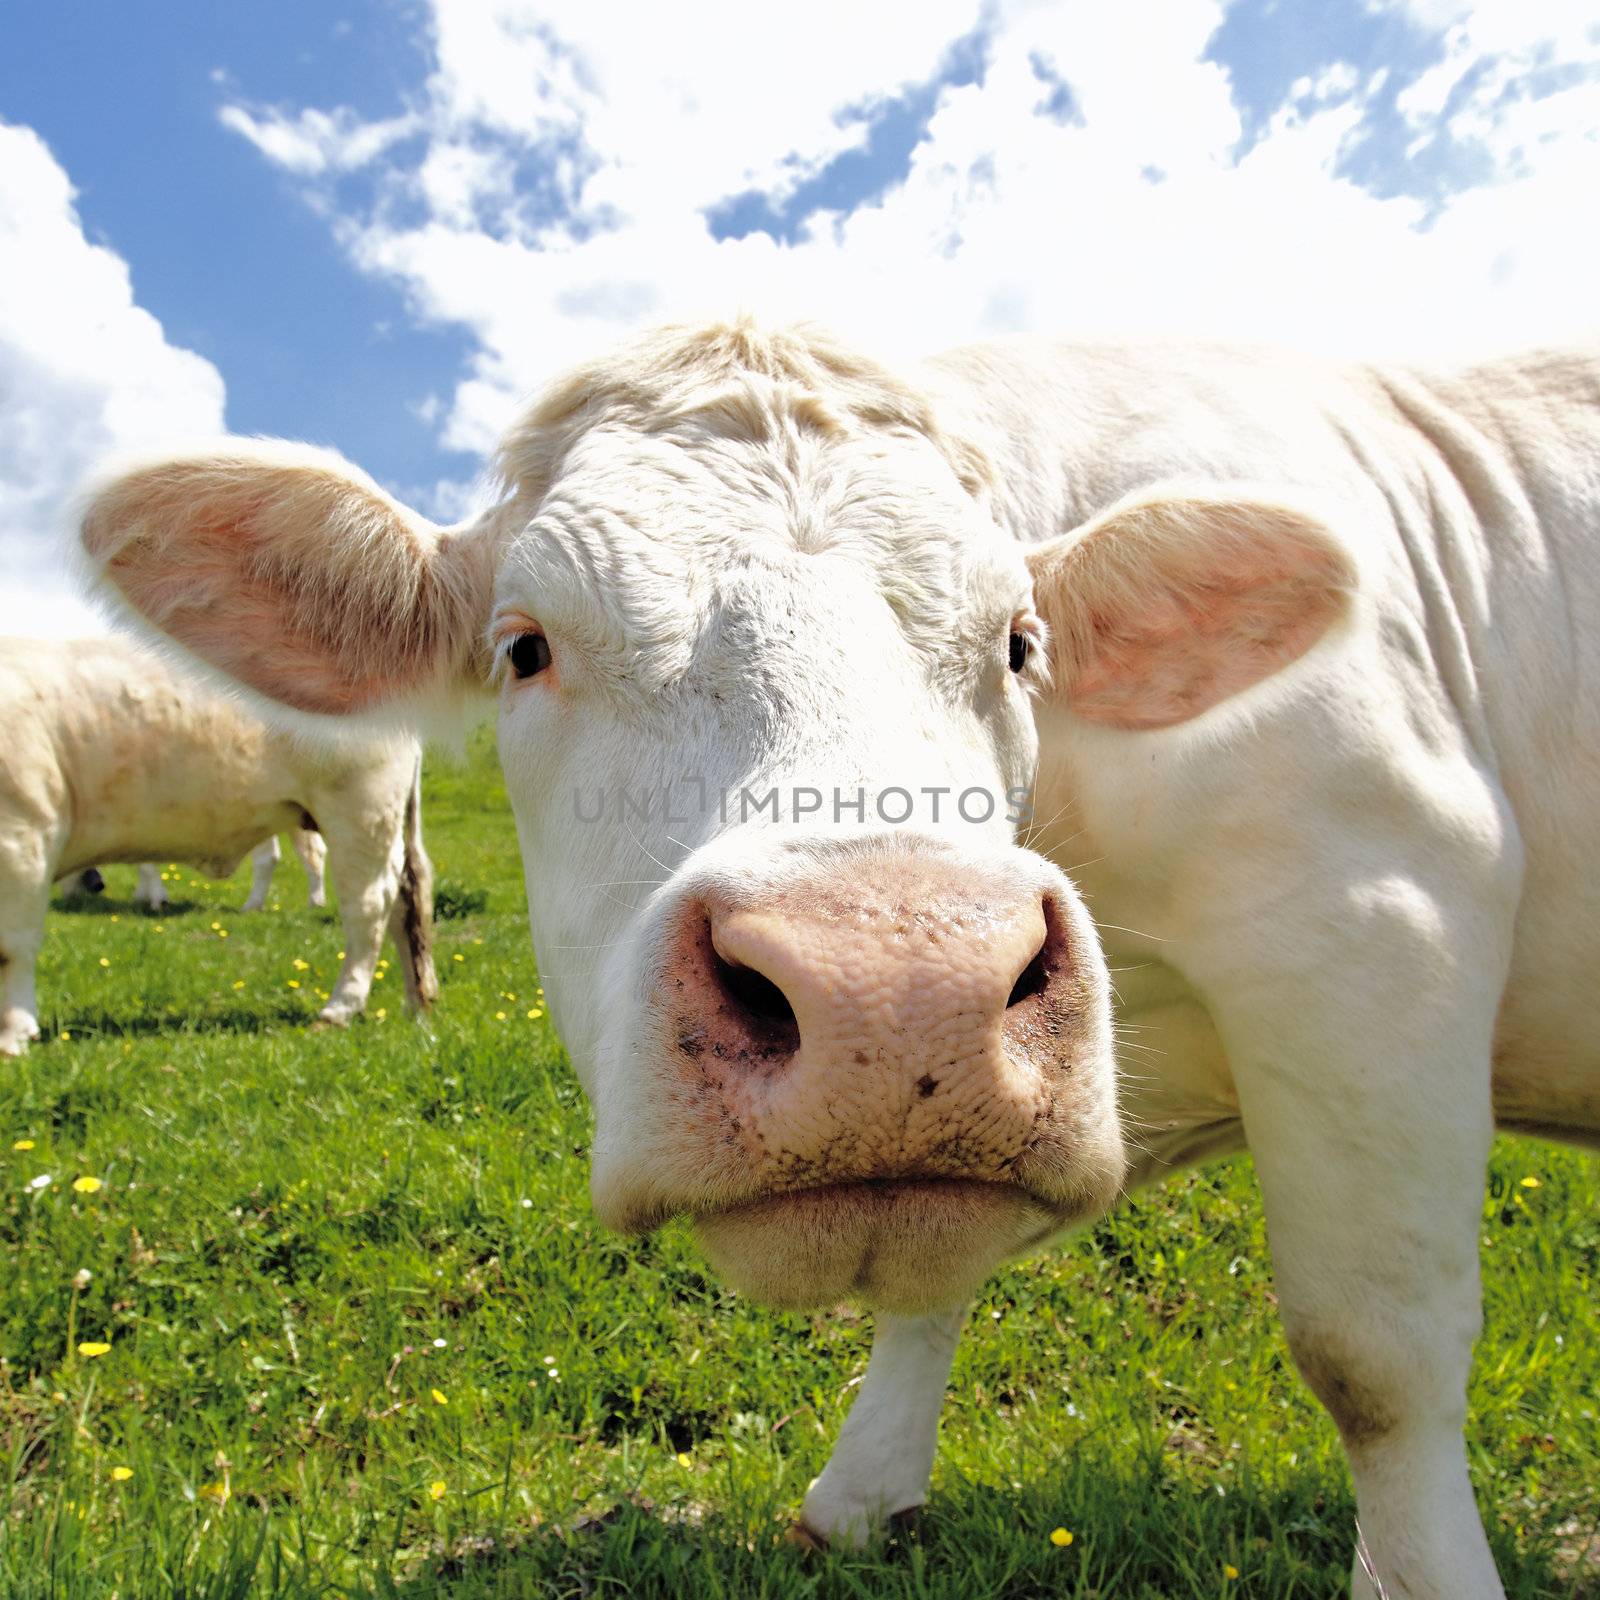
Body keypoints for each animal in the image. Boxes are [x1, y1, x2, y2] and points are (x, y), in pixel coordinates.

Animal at [0, 630, 438, 1056]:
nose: (94, 883)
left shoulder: (24, 833)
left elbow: (12, 945)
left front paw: (13, 1035)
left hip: (361, 810)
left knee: (370, 907)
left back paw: (341, 1008)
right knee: (406, 899)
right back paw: (417, 1000)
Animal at [78, 318, 1600, 1593]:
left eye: (1021, 642)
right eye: (523, 648)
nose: (900, 993)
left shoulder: (1377, 920)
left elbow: (1374, 1356)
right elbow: (939, 1282)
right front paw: (862, 1494)